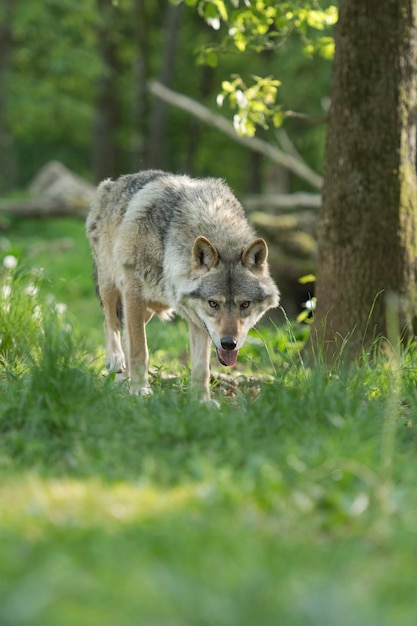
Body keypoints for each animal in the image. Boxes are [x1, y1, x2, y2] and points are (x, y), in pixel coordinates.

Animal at [85, 169, 278, 400]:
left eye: (245, 304)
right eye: (213, 304)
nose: (228, 343)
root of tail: (112, 182)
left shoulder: (198, 321)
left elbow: (201, 367)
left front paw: (202, 401)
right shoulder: (133, 291)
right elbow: (140, 350)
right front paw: (140, 389)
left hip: (148, 309)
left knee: (125, 336)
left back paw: (121, 383)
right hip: (111, 284)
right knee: (110, 322)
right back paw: (115, 360)